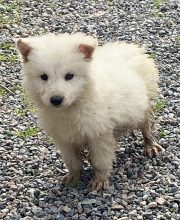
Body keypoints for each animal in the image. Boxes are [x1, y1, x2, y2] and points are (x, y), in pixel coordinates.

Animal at [16, 32, 164, 189]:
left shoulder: (99, 134)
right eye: (43, 76)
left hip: (145, 105)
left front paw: (100, 181)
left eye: (69, 75)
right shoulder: (64, 138)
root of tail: (131, 47)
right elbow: (72, 161)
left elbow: (101, 160)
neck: (74, 106)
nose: (56, 99)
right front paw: (73, 178)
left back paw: (151, 146)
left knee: (147, 127)